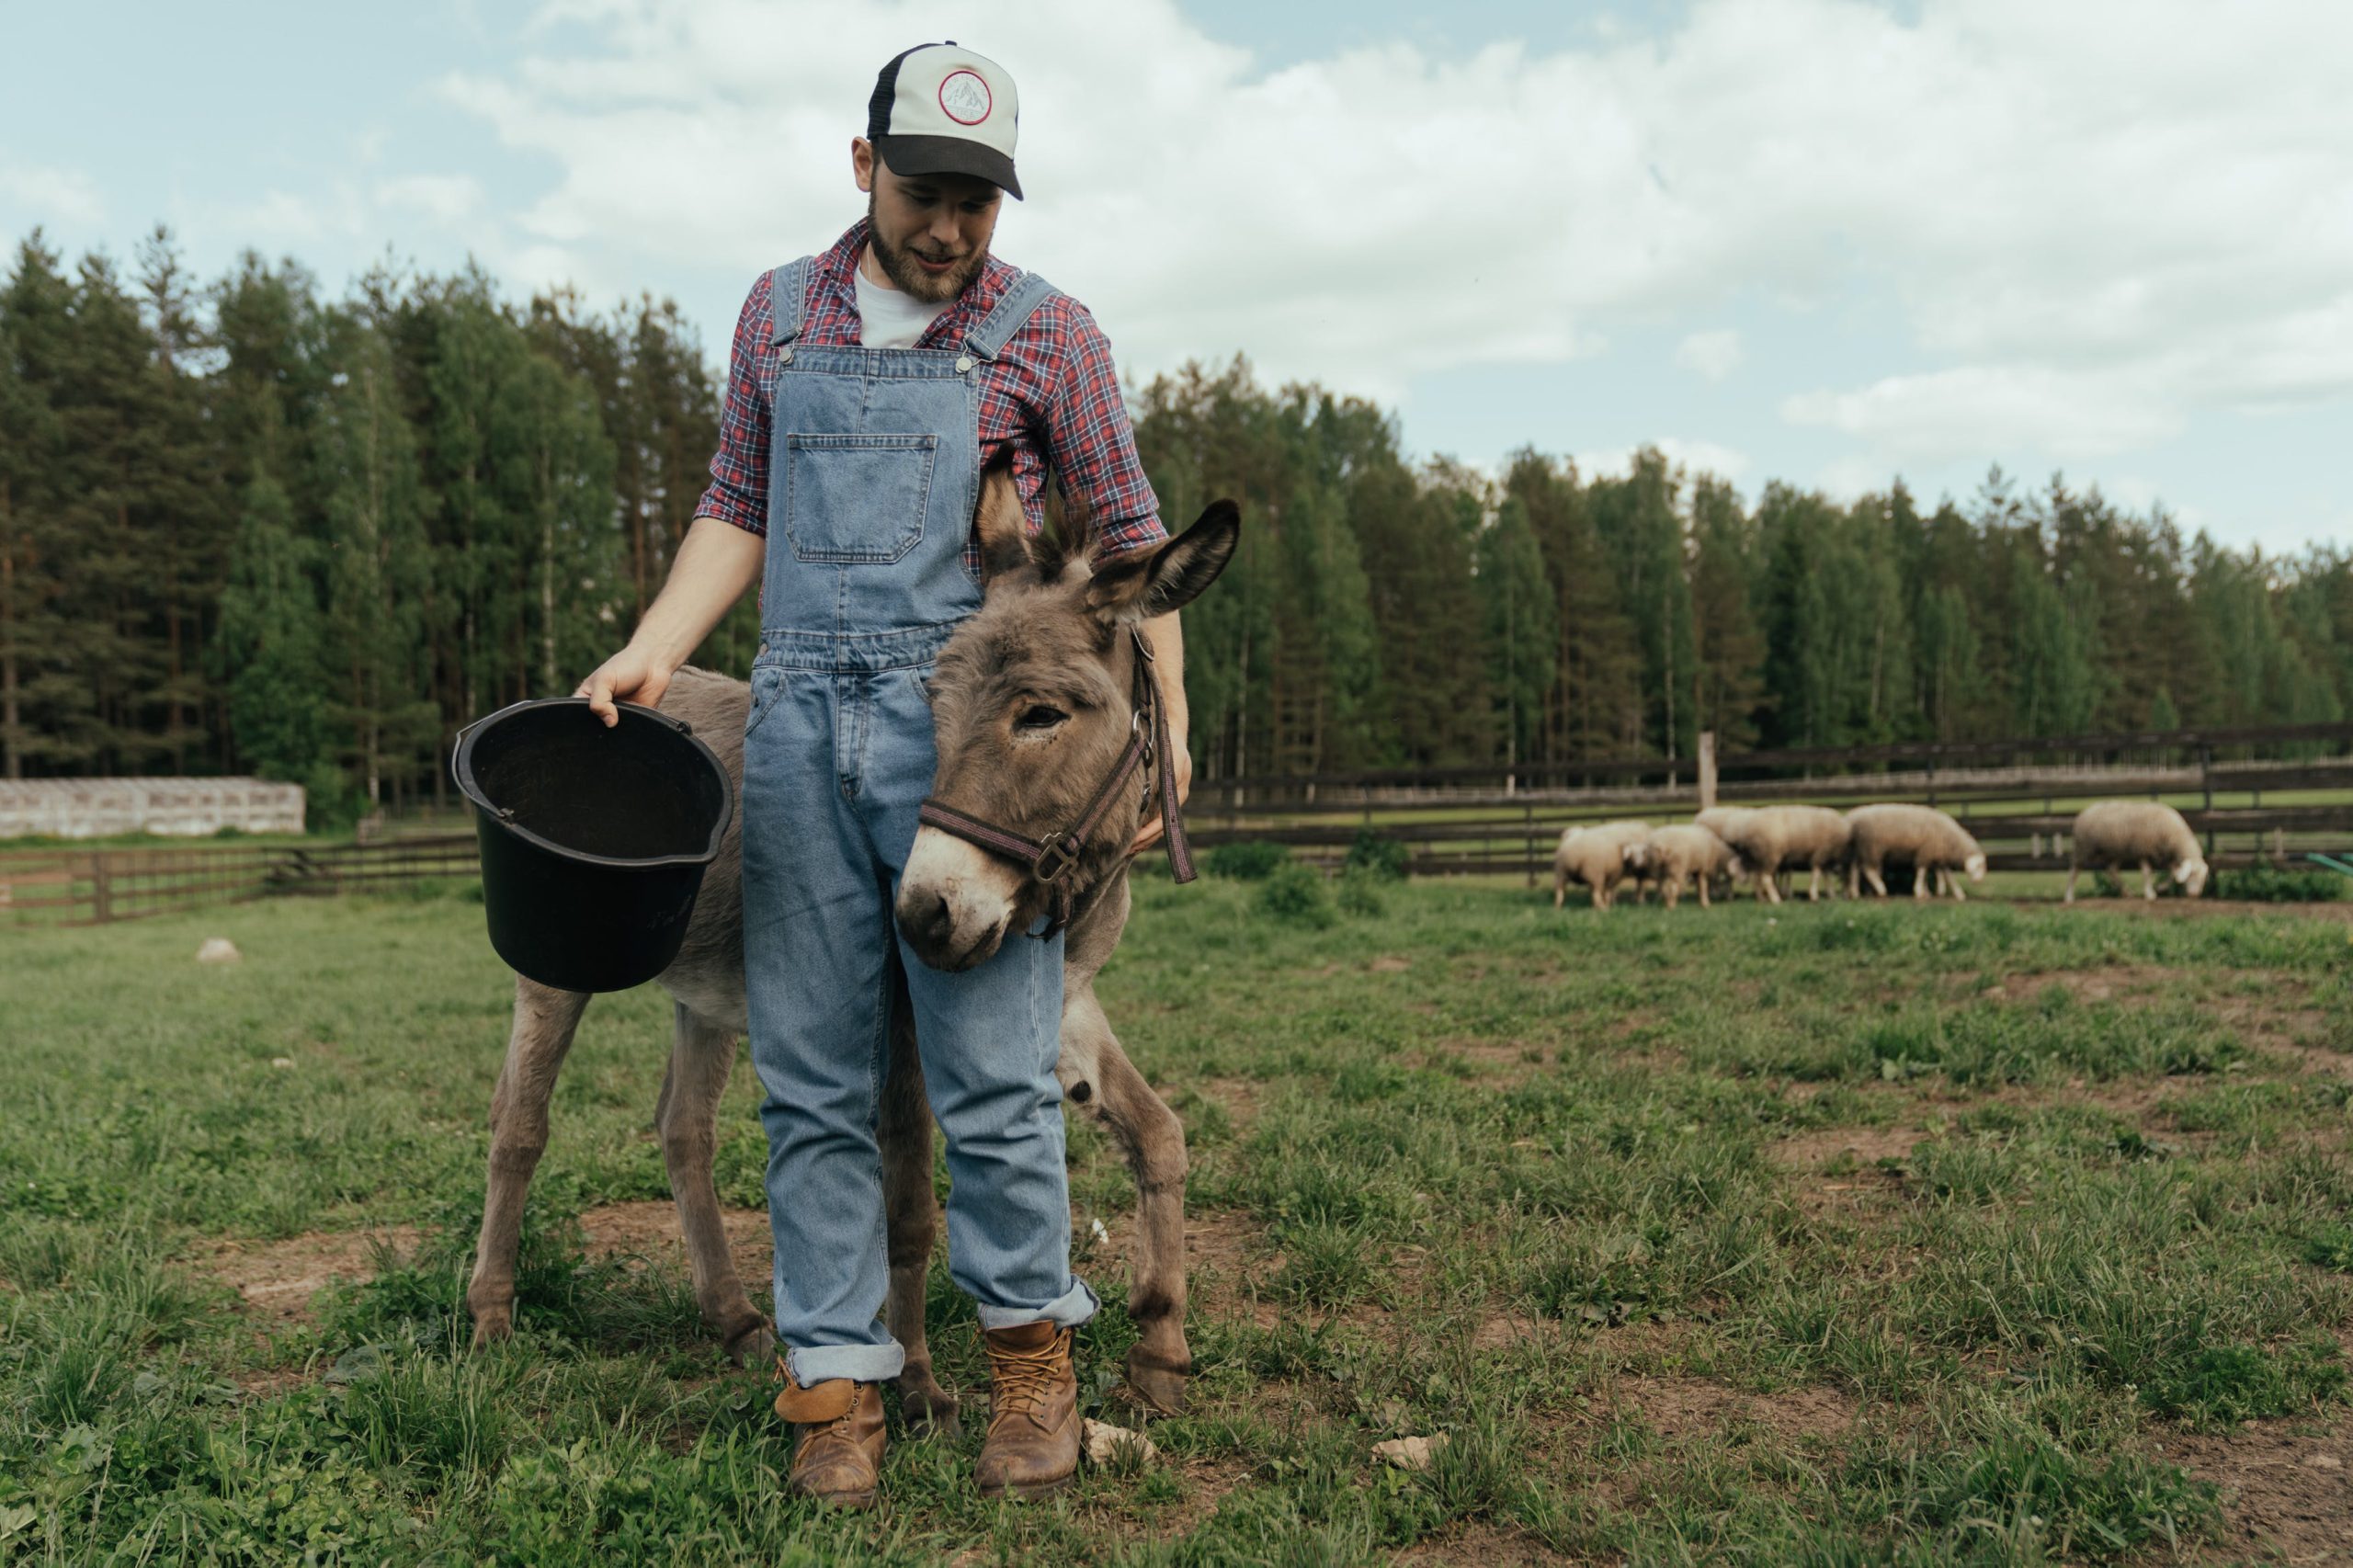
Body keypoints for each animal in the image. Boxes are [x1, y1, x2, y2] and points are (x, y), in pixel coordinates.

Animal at [1703, 800, 1845, 899]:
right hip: (1770, 854)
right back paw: (1775, 899)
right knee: (1764, 878)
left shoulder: (1823, 857)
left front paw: (1831, 894)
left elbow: (1826, 876)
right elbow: (1817, 874)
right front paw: (1813, 895)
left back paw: (1761, 897)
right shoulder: (1820, 854)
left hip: (1762, 856)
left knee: (1757, 878)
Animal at [1835, 800, 1985, 899]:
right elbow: (1922, 872)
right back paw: (1881, 889)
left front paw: (1953, 893)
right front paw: (1919, 891)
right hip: (1872, 848)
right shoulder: (1925, 852)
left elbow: (1946, 875)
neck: (1950, 838)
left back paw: (1855, 892)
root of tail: (1851, 818)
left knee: (1855, 869)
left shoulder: (1937, 855)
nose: (1979, 882)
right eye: (1978, 866)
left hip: (1859, 849)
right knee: (1868, 870)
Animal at [2061, 800, 2202, 899]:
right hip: (2083, 848)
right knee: (2075, 870)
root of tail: (2084, 812)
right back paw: (2069, 896)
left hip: (2116, 851)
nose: (2194, 895)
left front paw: (2160, 888)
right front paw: (2150, 894)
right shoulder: (2142, 850)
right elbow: (2147, 873)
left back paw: (2127, 892)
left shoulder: (2166, 855)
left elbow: (2173, 874)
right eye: (2192, 874)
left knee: (2111, 870)